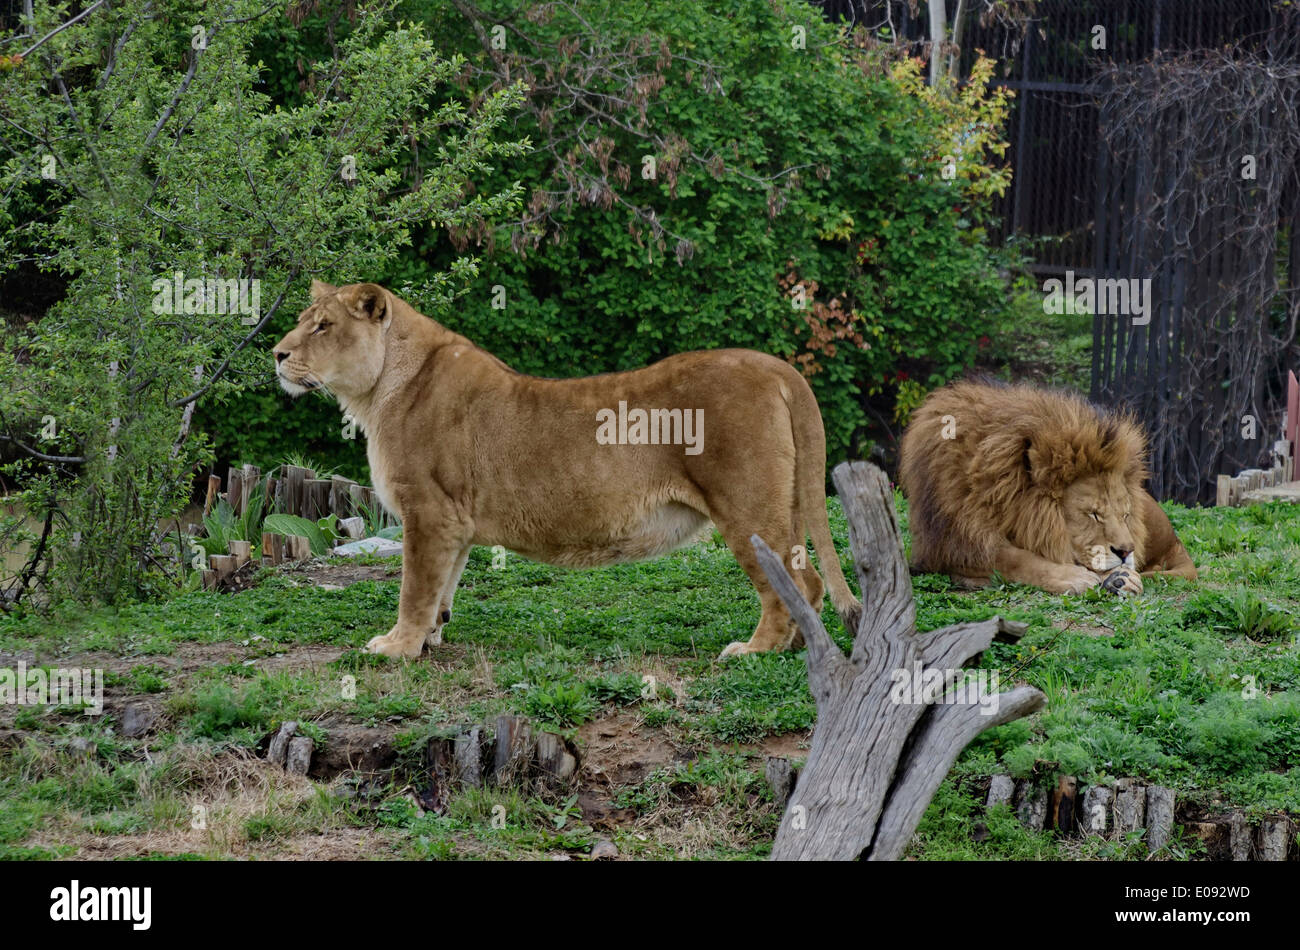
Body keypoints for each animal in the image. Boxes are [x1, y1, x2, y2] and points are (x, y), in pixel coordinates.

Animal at [272, 281, 862, 659]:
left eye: (322, 326)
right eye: (303, 323)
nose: (276, 354)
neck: (378, 391)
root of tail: (777, 365)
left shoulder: (428, 511)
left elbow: (415, 589)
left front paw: (396, 647)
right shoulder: (453, 523)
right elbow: (443, 587)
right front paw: (431, 638)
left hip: (747, 507)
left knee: (790, 583)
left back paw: (754, 650)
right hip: (784, 504)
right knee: (806, 581)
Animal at [897, 379, 1197, 595]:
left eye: (1124, 515)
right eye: (1093, 514)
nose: (1125, 552)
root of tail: (1177, 542)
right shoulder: (951, 541)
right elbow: (1015, 559)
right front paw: (1075, 577)